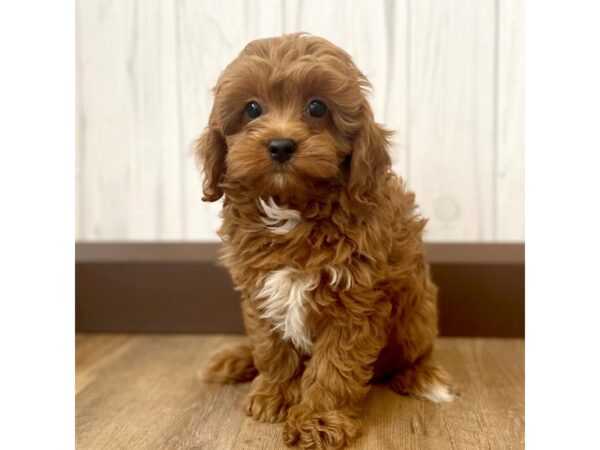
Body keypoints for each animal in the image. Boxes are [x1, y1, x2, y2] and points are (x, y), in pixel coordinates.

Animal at [199, 33, 452, 448]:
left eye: (317, 107)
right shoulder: (260, 287)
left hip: (418, 318)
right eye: (252, 108)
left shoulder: (355, 299)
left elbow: (335, 366)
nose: (280, 145)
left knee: (413, 355)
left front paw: (318, 420)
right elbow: (270, 347)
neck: (293, 209)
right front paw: (273, 395)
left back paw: (422, 376)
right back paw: (235, 359)